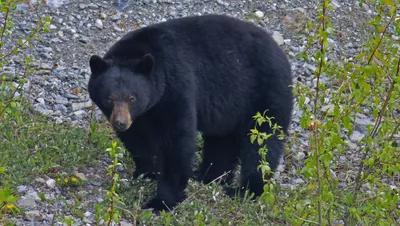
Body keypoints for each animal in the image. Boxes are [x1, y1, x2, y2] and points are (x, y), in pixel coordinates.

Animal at [88, 13, 294, 212]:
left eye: (132, 98)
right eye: (109, 98)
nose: (120, 123)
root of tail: (282, 55)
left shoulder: (177, 85)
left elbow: (176, 141)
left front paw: (161, 201)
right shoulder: (141, 117)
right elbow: (138, 141)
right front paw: (146, 172)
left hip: (265, 93)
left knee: (262, 144)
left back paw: (246, 190)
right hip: (229, 108)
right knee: (222, 141)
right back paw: (209, 176)